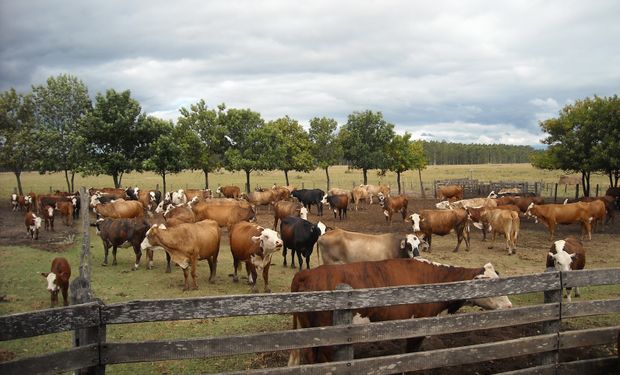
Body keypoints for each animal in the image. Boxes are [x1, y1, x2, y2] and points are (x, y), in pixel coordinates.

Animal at [288, 260, 512, 366]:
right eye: (492, 285)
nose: (510, 307)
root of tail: (306, 273)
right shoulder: (417, 326)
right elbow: (410, 354)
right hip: (324, 335)